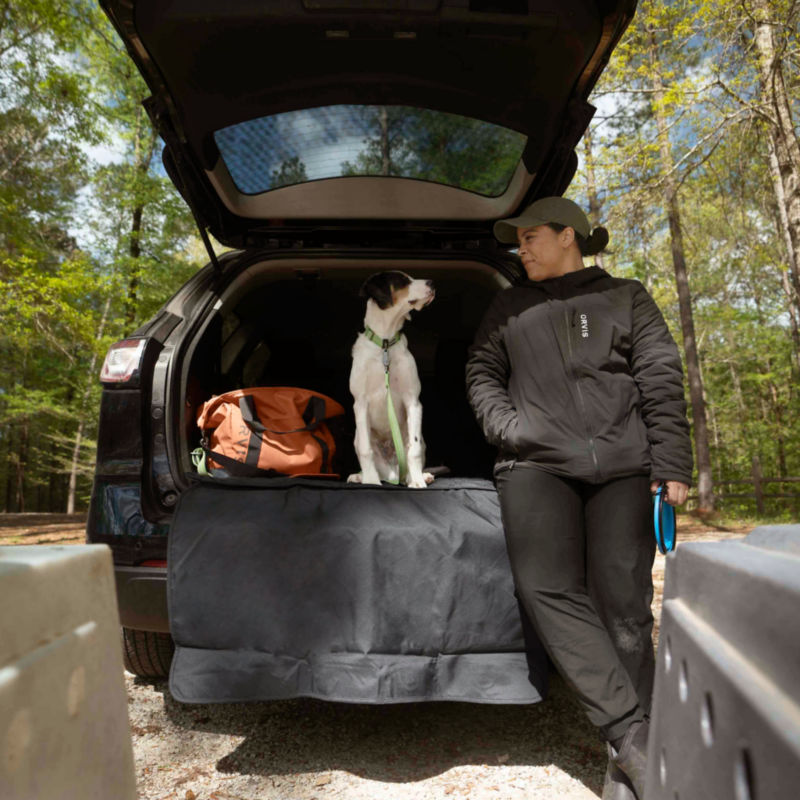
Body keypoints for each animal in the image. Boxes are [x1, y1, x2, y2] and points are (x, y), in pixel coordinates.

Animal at [346, 272, 434, 488]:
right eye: (402, 280)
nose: (432, 283)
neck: (385, 344)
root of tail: (394, 471)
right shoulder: (360, 403)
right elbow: (366, 450)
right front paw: (370, 481)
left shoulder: (413, 401)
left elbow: (413, 450)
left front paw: (417, 480)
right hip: (357, 436)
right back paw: (361, 476)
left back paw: (418, 476)